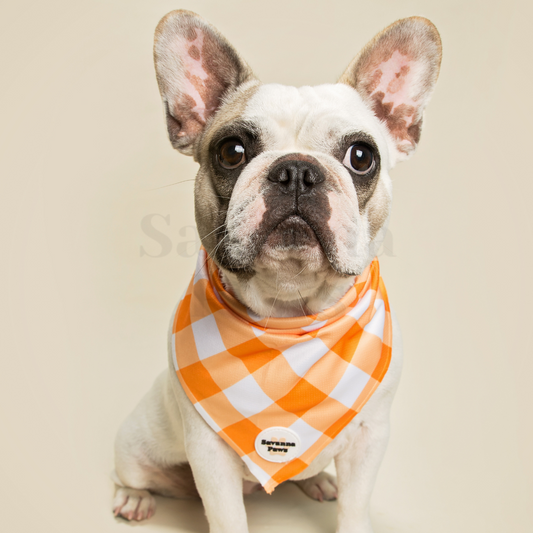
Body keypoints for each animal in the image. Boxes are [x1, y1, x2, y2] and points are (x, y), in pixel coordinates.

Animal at [112, 9, 440, 532]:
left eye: (362, 157)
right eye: (231, 151)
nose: (297, 171)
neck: (290, 315)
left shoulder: (370, 436)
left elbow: (356, 506)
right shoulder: (209, 454)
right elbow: (227, 516)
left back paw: (318, 481)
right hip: (136, 444)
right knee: (133, 474)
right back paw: (133, 499)